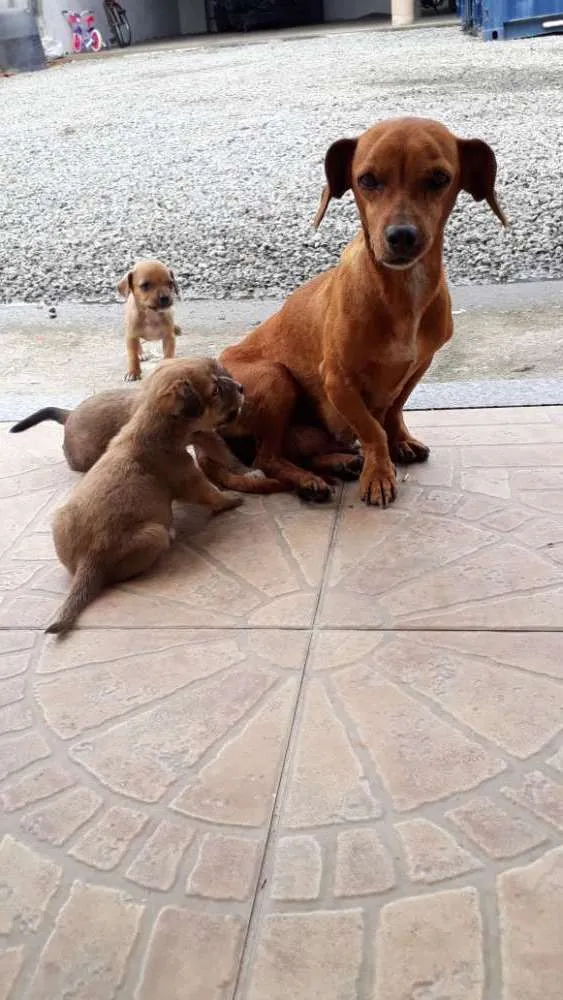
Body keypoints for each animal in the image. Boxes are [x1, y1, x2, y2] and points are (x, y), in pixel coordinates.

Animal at [46, 358, 245, 632]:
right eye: (214, 390)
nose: (242, 387)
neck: (150, 427)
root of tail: (89, 560)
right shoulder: (189, 479)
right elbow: (212, 495)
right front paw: (232, 499)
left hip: (59, 518)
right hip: (154, 535)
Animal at [220, 118, 506, 508]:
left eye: (439, 178)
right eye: (367, 179)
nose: (402, 236)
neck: (402, 293)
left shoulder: (420, 365)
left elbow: (393, 409)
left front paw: (400, 441)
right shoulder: (337, 381)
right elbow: (371, 429)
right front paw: (379, 475)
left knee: (298, 451)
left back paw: (339, 463)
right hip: (274, 378)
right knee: (267, 458)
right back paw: (311, 481)